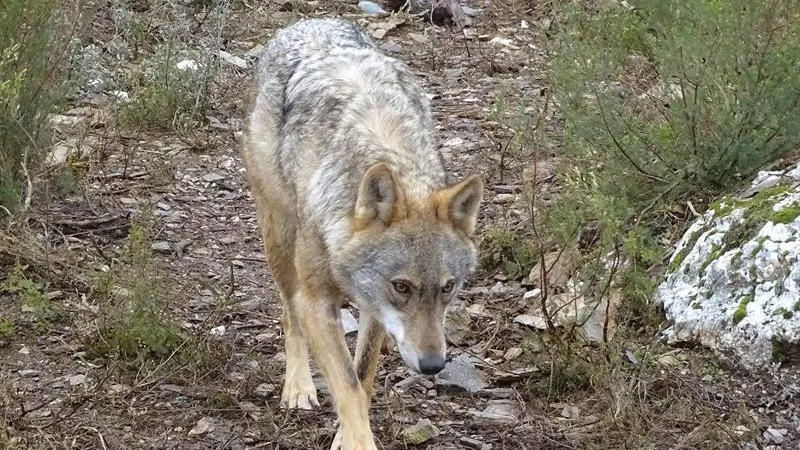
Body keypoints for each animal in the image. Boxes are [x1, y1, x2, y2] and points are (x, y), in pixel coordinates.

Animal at [241, 17, 484, 450]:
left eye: (447, 288)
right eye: (402, 286)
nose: (433, 365)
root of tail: (310, 21)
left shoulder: (374, 306)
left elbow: (363, 376)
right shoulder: (318, 302)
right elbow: (347, 386)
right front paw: (356, 438)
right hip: (279, 240)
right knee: (289, 315)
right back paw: (298, 387)